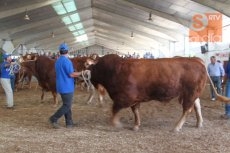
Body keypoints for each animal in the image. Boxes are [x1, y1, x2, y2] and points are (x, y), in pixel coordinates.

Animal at [86, 54, 230, 131]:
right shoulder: (134, 98)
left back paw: (177, 127)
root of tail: (195, 60)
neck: (115, 70)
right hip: (192, 93)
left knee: (187, 109)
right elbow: (135, 111)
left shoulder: (124, 97)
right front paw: (136, 125)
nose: (89, 78)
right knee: (197, 106)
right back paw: (199, 123)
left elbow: (114, 110)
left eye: (92, 68)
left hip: (190, 93)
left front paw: (115, 123)